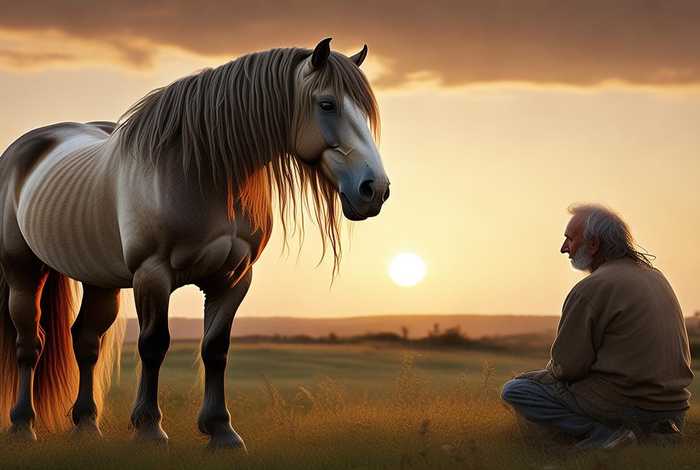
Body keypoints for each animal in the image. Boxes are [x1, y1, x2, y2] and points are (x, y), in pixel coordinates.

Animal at [0, 38, 390, 449]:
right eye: (327, 104)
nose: (375, 189)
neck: (201, 171)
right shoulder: (153, 274)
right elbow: (154, 344)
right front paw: (149, 428)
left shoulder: (234, 277)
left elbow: (215, 348)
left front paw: (221, 431)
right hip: (23, 270)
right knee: (30, 343)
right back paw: (23, 425)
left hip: (98, 278)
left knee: (86, 340)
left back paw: (87, 426)